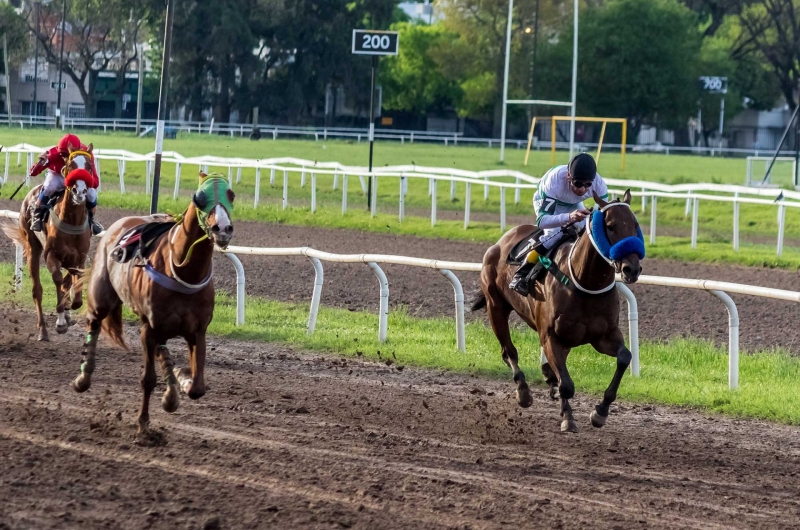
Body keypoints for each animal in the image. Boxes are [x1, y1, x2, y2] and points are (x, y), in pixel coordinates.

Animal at [3, 144, 94, 340]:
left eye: (89, 166)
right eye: (71, 165)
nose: (80, 192)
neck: (71, 220)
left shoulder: (80, 257)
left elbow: (74, 283)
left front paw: (69, 309)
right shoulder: (51, 254)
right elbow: (58, 279)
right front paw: (60, 320)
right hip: (33, 247)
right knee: (37, 290)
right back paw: (43, 331)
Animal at [72, 172, 236, 438]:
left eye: (231, 195)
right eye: (199, 197)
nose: (222, 228)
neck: (184, 271)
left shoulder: (197, 331)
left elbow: (197, 388)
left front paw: (181, 379)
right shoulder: (150, 327)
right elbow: (148, 380)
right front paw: (143, 424)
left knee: (162, 348)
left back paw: (172, 387)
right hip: (102, 297)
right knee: (94, 323)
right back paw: (83, 378)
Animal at [476, 189, 644, 428]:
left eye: (635, 224)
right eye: (610, 226)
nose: (632, 269)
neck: (586, 283)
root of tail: (503, 239)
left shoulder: (603, 336)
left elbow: (624, 357)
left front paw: (600, 411)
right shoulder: (549, 336)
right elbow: (566, 383)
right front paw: (568, 417)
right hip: (495, 307)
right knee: (509, 351)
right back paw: (524, 392)